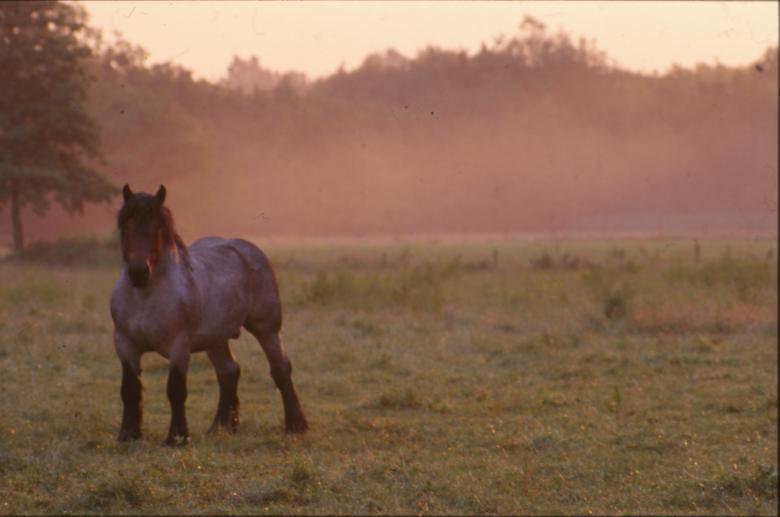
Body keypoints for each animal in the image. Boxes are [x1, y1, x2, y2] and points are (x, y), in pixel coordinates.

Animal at [110, 184, 308, 445]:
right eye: (127, 225)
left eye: (157, 228)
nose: (138, 272)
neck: (145, 297)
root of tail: (249, 250)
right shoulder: (125, 345)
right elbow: (130, 389)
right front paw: (128, 434)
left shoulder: (179, 347)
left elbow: (176, 390)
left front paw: (177, 437)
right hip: (216, 339)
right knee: (229, 372)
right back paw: (220, 428)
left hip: (267, 328)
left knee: (280, 369)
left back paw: (296, 425)